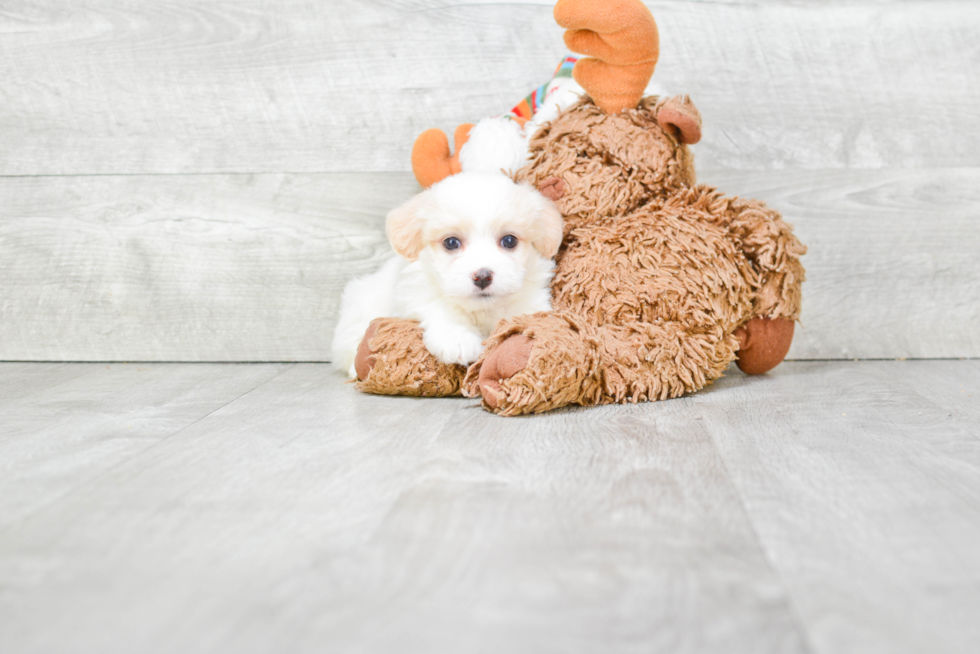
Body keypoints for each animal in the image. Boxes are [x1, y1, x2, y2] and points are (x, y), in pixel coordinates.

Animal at [332, 172, 564, 382]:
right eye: (451, 243)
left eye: (509, 240)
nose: (482, 276)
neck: (482, 310)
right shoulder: (416, 292)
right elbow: (440, 307)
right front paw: (458, 338)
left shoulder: (531, 300)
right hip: (358, 308)